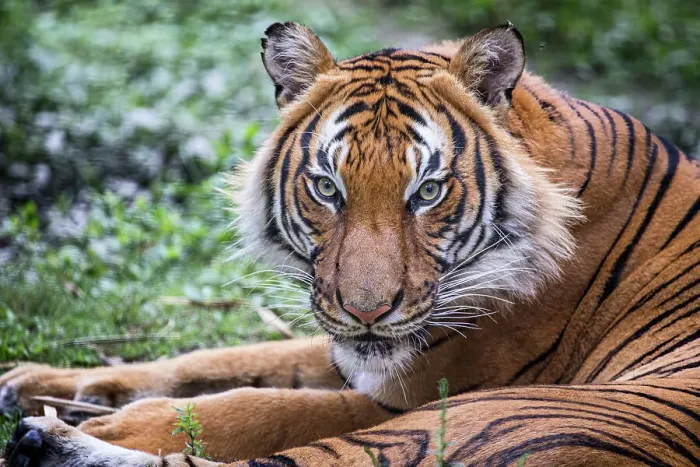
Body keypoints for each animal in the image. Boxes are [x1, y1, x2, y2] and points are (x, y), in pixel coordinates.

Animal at [3, 21, 699, 467]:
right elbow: (216, 359)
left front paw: (111, 419)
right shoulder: (351, 342)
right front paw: (40, 379)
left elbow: (257, 406)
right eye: (326, 187)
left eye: (428, 191)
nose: (367, 311)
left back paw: (47, 445)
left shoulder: (415, 392)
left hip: (501, 415)